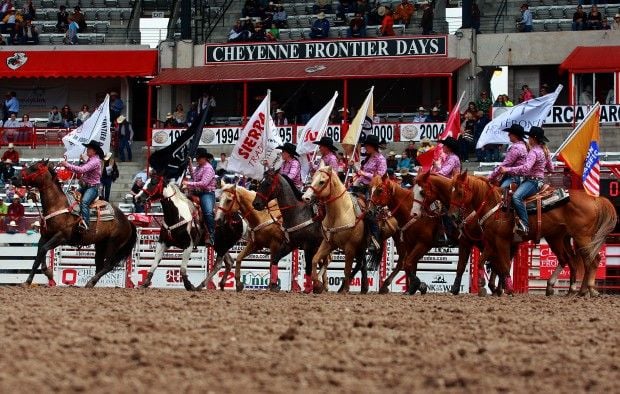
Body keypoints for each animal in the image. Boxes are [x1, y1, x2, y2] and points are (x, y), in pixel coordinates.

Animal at [302, 162, 372, 292]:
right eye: (312, 178)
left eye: (322, 181)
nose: (305, 197)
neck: (339, 213)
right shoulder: (327, 243)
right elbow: (315, 259)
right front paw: (318, 285)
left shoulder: (350, 247)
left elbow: (346, 269)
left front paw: (345, 289)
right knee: (361, 264)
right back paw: (363, 288)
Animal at [450, 171, 616, 298]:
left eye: (460, 191)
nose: (453, 216)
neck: (495, 205)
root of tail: (594, 198)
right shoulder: (491, 241)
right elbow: (483, 261)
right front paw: (483, 285)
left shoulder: (502, 241)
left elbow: (504, 265)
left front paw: (508, 289)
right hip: (560, 238)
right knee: (572, 260)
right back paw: (568, 290)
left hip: (582, 237)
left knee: (592, 260)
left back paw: (588, 290)